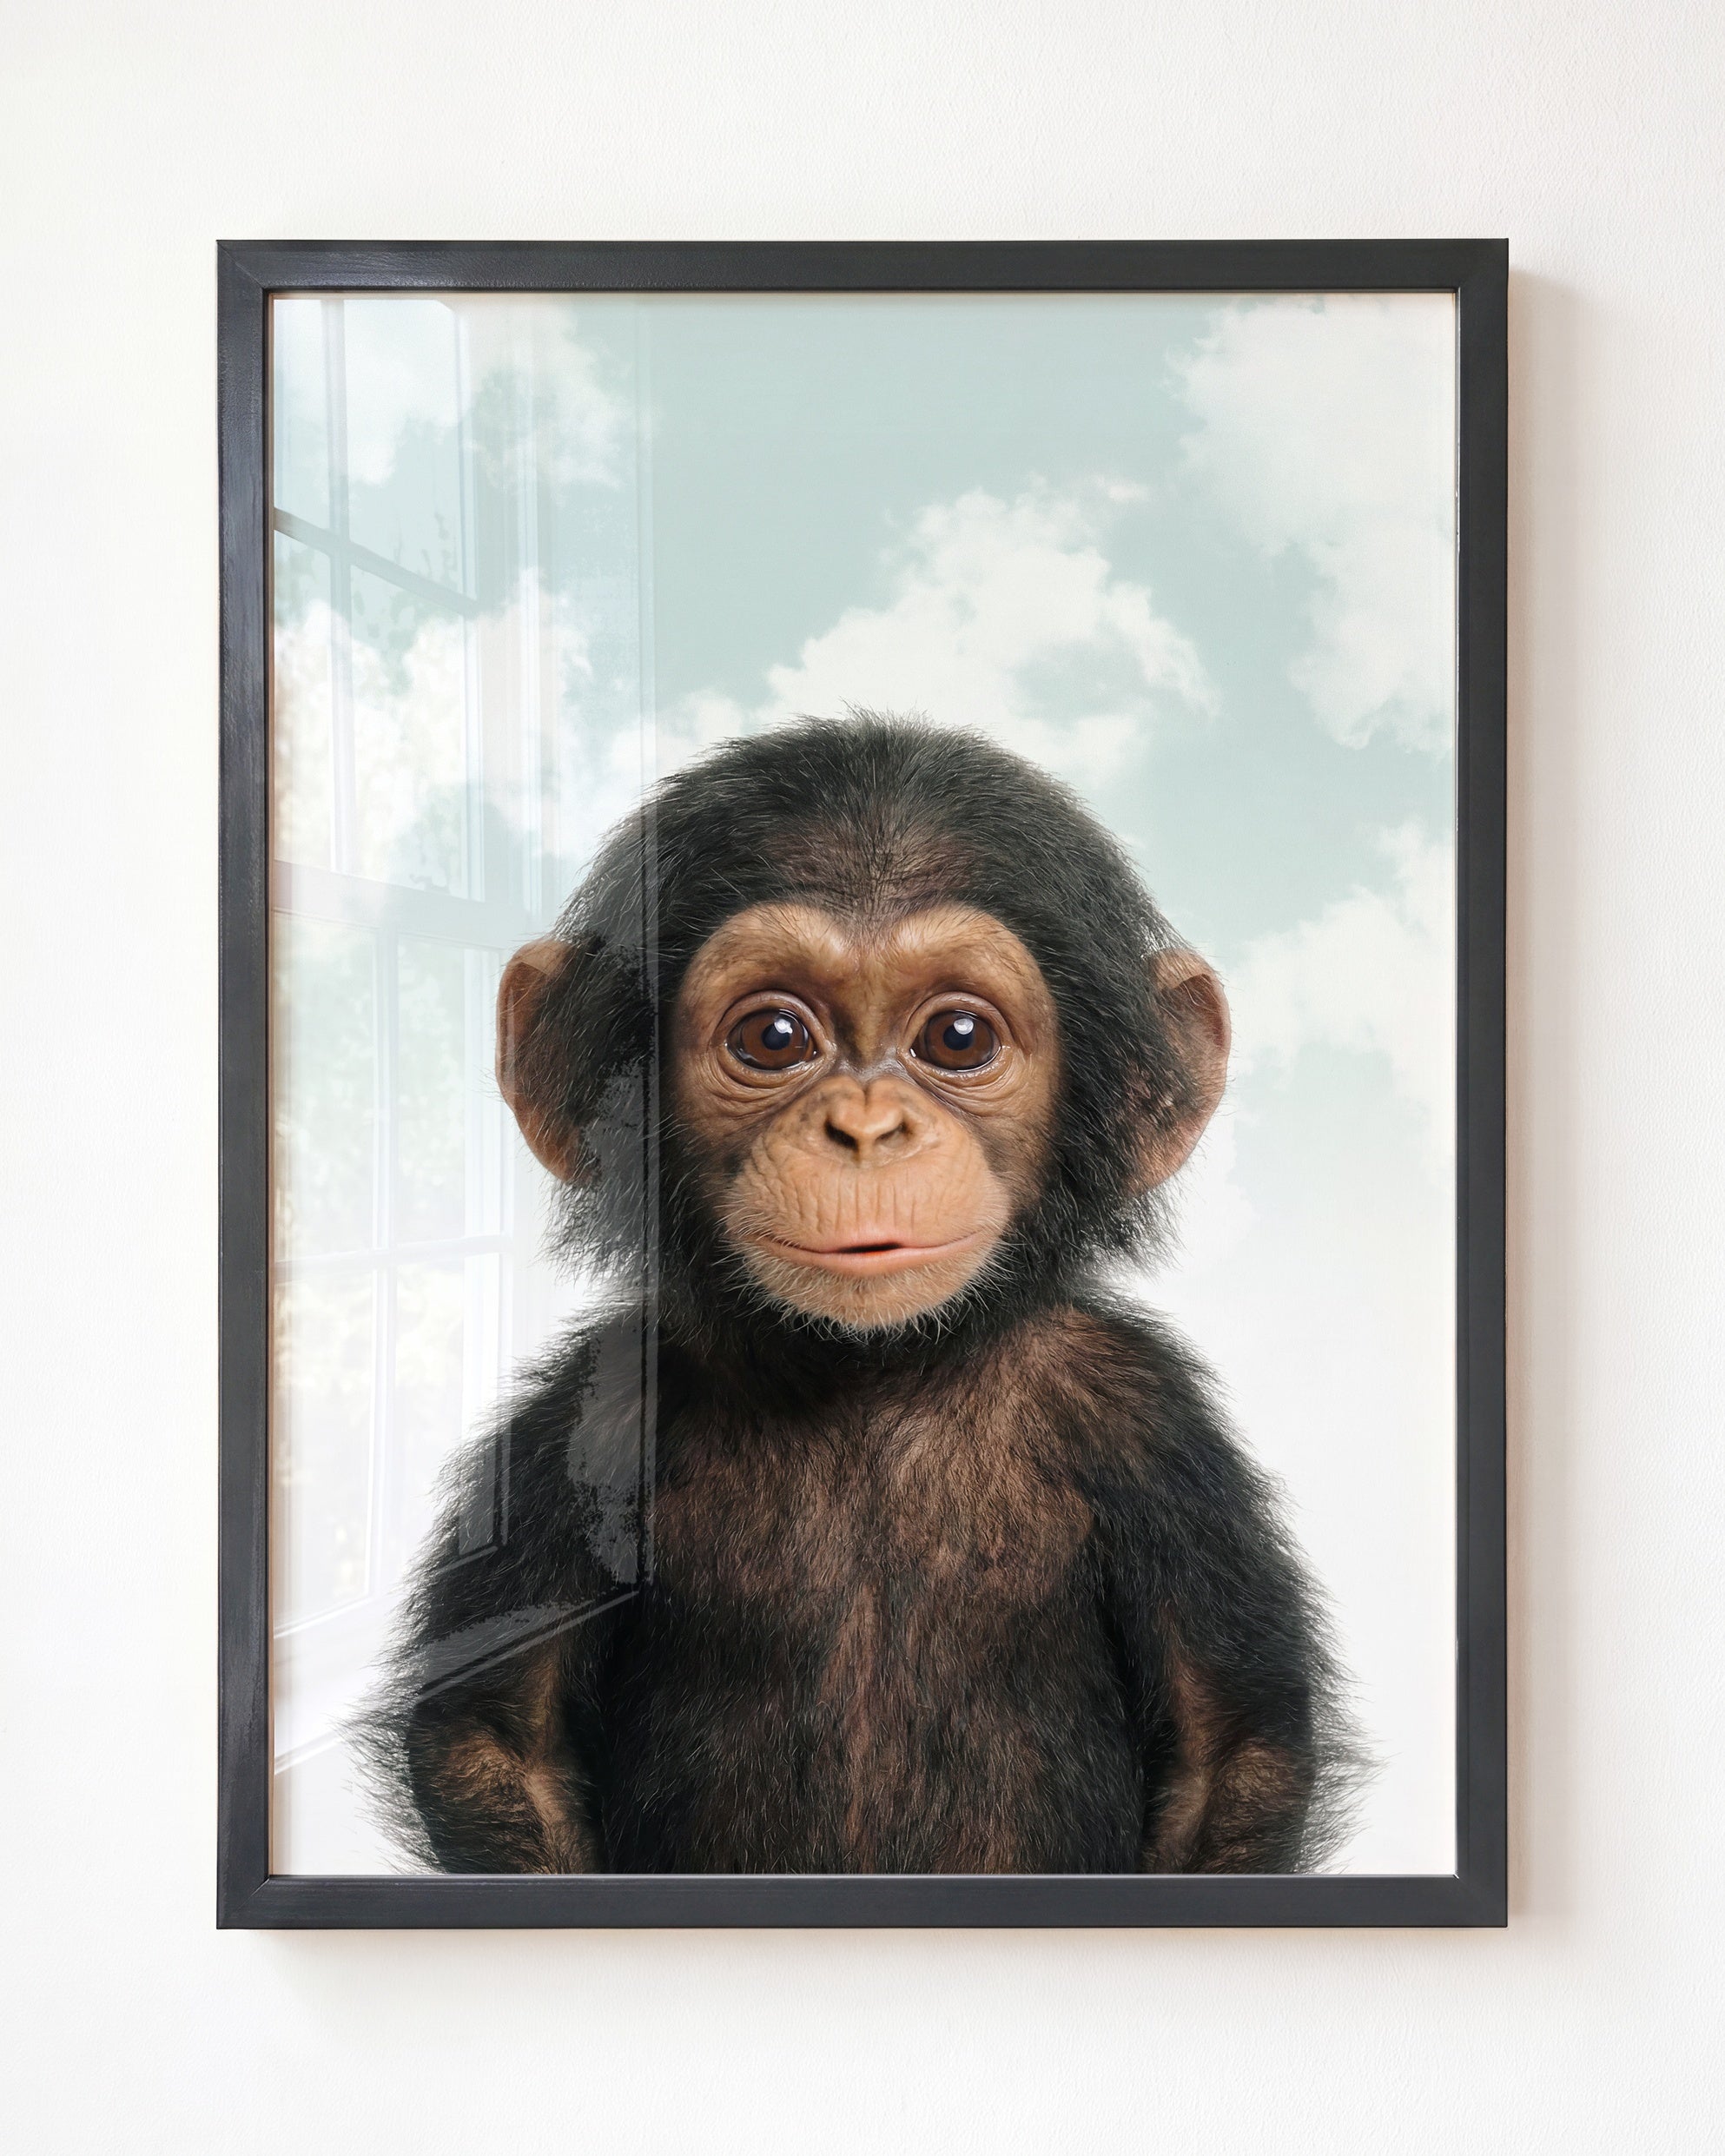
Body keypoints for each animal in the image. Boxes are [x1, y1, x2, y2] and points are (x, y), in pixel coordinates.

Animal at [360, 713, 1362, 1875]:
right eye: (773, 1037)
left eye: (958, 1038)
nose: (867, 1128)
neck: (872, 1373)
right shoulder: (584, 1421)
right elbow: (496, 1735)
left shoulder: (1151, 1424)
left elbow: (1227, 1746)